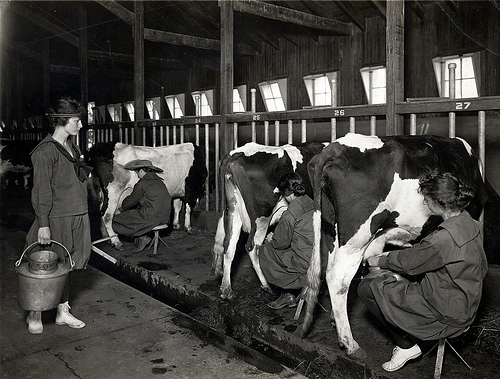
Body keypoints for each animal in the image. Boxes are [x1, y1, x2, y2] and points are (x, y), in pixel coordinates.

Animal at [213, 142, 326, 300]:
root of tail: (236, 155)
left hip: (233, 209)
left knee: (229, 244)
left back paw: (226, 289)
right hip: (262, 215)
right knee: (253, 246)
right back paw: (268, 286)